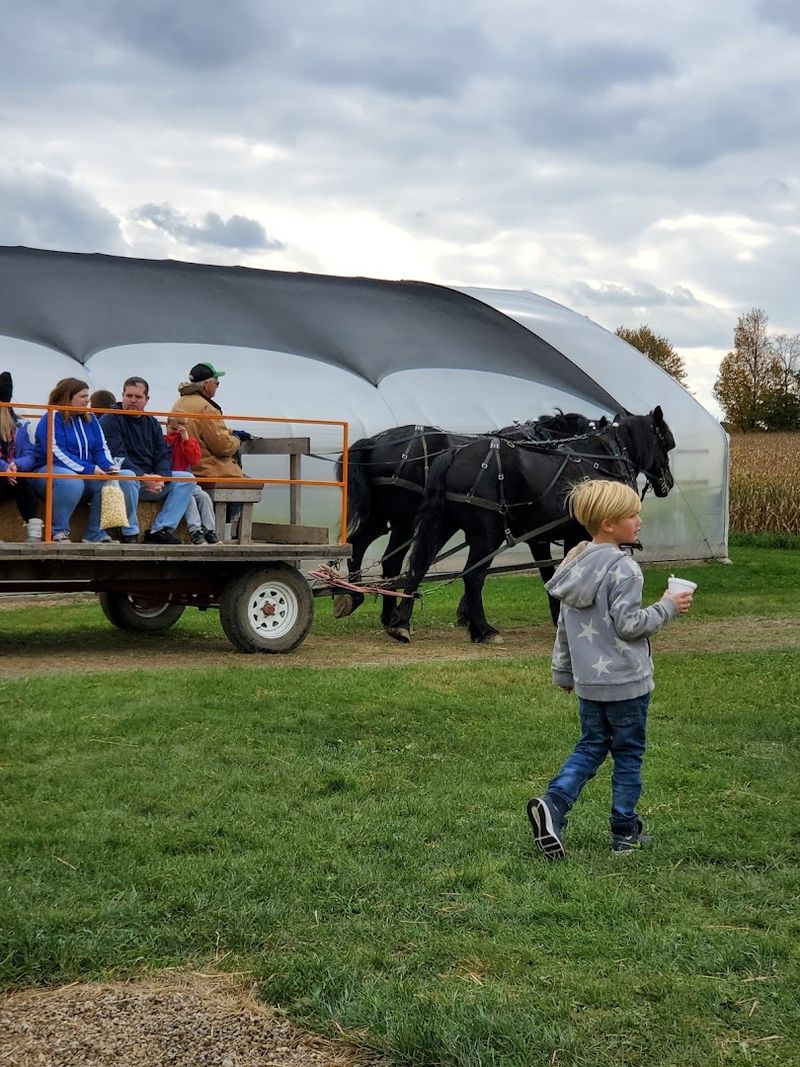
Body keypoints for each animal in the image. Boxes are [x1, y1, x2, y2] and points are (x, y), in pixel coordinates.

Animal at [333, 412, 605, 630]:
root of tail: (375, 441)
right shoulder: (525, 534)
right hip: (404, 521)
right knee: (391, 560)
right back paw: (387, 612)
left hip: (381, 518)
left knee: (358, 545)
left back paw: (357, 598)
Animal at [385, 407, 676, 645]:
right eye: (666, 443)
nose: (669, 483)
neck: (603, 459)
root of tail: (455, 453)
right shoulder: (578, 534)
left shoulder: (540, 538)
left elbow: (551, 575)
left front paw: (558, 616)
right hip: (487, 535)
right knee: (473, 576)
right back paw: (484, 630)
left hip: (444, 524)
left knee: (419, 565)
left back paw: (400, 622)